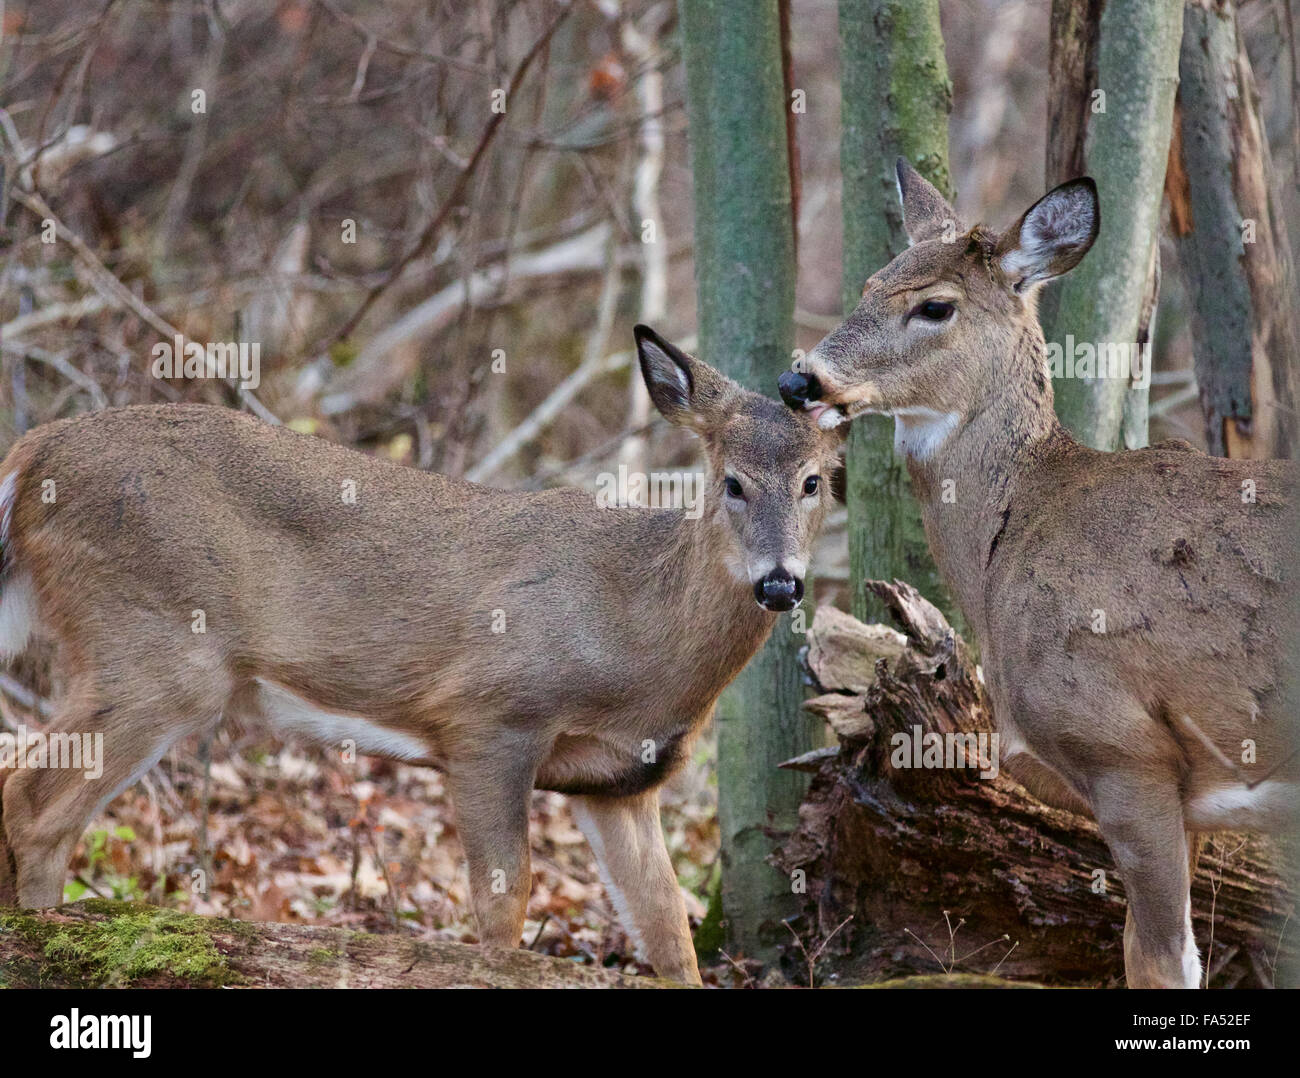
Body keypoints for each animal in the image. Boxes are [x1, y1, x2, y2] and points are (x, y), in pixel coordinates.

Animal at [0, 326, 842, 983]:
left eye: (815, 480)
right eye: (731, 482)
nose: (779, 582)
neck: (636, 635)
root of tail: (30, 455)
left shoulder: (619, 783)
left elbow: (669, 931)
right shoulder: (489, 718)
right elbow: (504, 905)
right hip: (154, 647)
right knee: (34, 805)